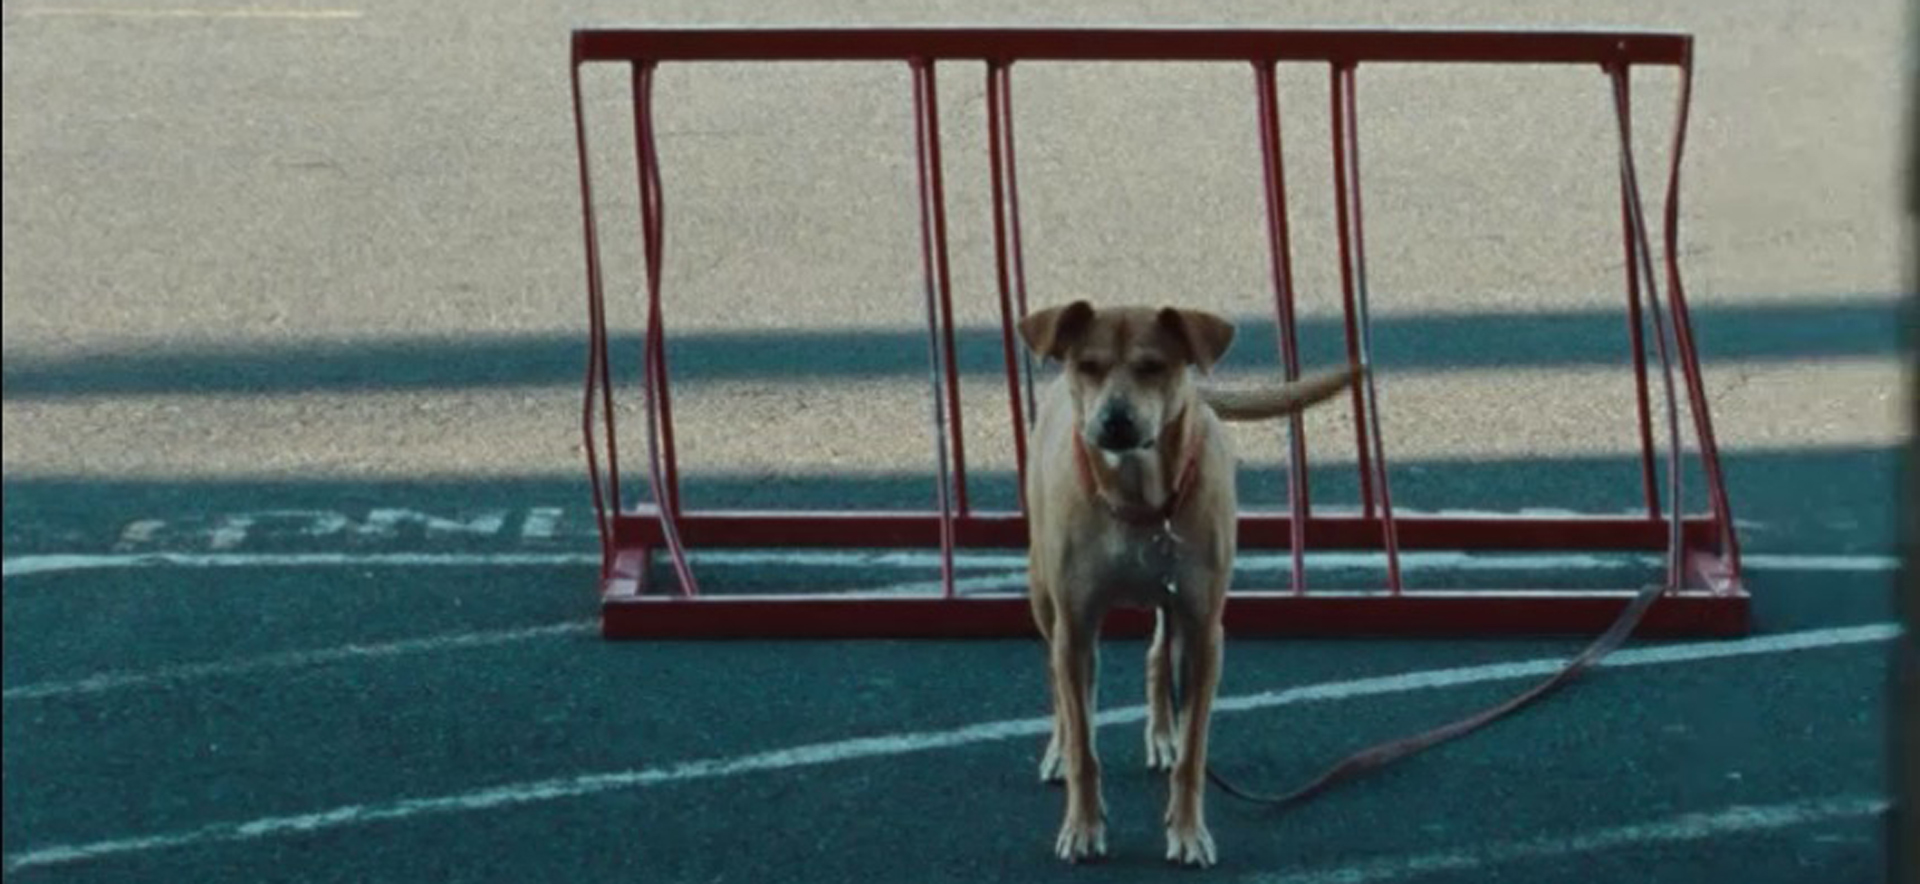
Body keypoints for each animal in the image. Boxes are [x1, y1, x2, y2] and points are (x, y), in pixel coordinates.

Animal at [1021, 299, 1367, 868]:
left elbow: (1193, 749)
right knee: (1058, 682)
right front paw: (1084, 825)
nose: (1114, 420)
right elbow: (1084, 745)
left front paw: (1187, 831)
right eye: (1087, 365)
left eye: (1153, 367)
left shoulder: (1204, 629)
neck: (1140, 503)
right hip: (1043, 595)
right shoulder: (1076, 628)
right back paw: (1058, 746)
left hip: (1172, 603)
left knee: (1159, 654)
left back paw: (1163, 735)